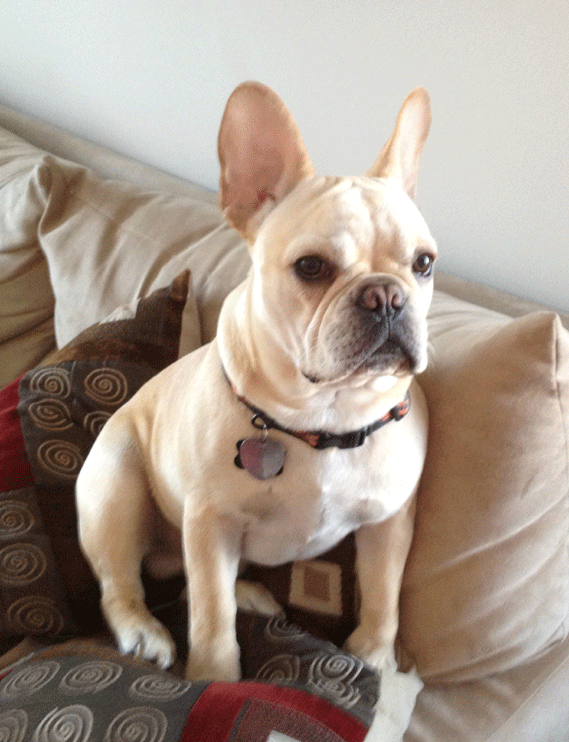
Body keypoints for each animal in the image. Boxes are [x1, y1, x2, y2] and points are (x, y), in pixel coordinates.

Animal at [75, 81, 436, 682]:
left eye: (424, 264)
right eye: (312, 267)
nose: (386, 294)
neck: (325, 418)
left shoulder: (388, 522)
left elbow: (384, 594)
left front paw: (375, 655)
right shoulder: (210, 524)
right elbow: (211, 614)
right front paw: (214, 678)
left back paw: (249, 594)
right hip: (115, 486)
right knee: (121, 584)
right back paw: (143, 631)